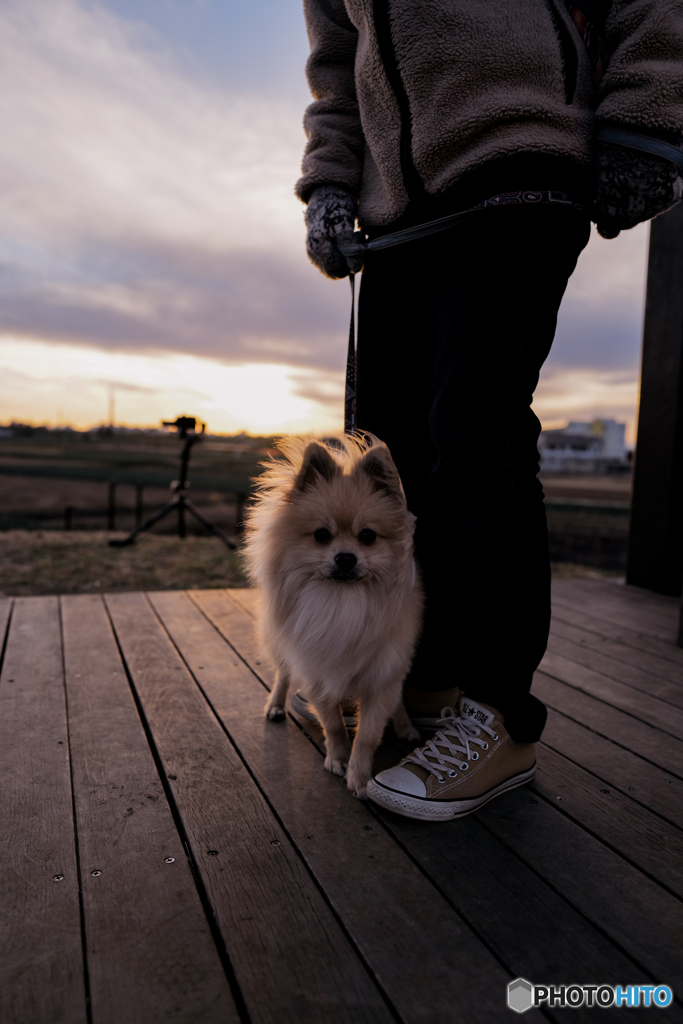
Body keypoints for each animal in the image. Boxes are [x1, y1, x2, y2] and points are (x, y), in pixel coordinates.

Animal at [242, 432, 423, 798]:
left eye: (368, 536)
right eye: (321, 535)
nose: (345, 558)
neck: (342, 602)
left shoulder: (383, 674)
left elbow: (368, 734)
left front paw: (360, 776)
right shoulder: (316, 674)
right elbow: (334, 725)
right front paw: (338, 759)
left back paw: (404, 724)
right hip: (280, 643)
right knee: (282, 674)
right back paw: (276, 704)